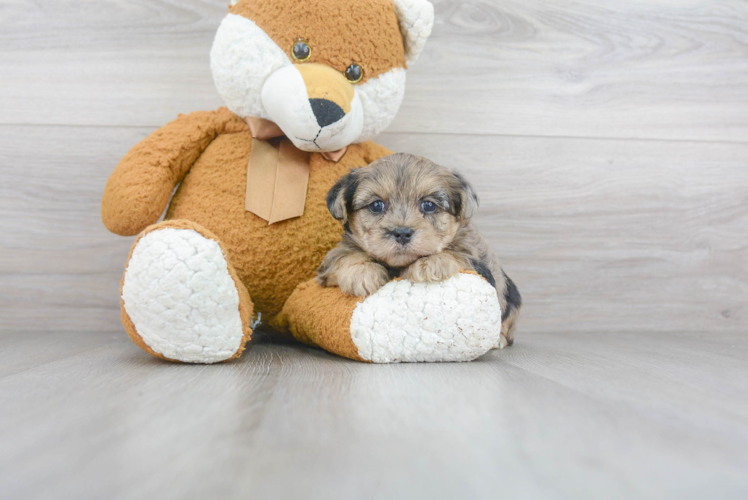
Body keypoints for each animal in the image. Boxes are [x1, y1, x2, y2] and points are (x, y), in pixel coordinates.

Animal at [316, 154, 520, 346]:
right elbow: (343, 255)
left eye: (428, 205)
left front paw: (430, 263)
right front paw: (361, 271)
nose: (402, 233)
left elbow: (457, 254)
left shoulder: (478, 263)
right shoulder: (328, 266)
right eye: (376, 205)